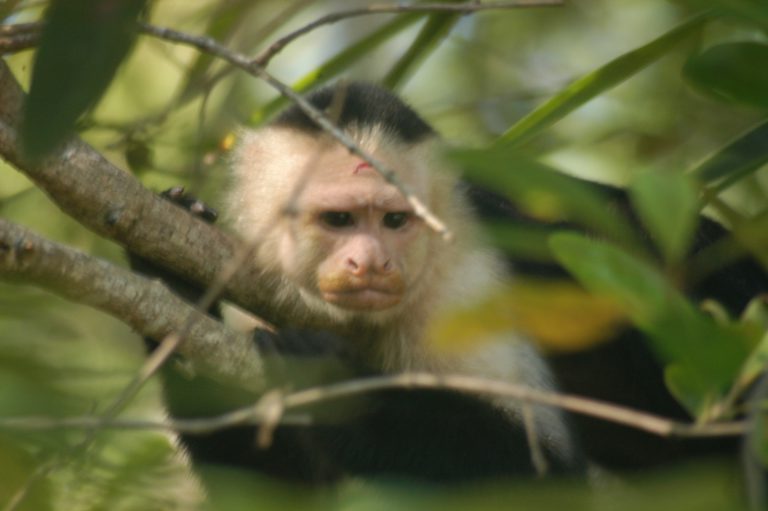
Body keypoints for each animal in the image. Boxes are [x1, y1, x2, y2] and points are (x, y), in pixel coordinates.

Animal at [130, 82, 586, 485]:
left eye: (395, 220)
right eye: (339, 219)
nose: (370, 263)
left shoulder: (463, 291)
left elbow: (556, 477)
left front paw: (331, 383)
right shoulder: (259, 278)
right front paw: (174, 282)